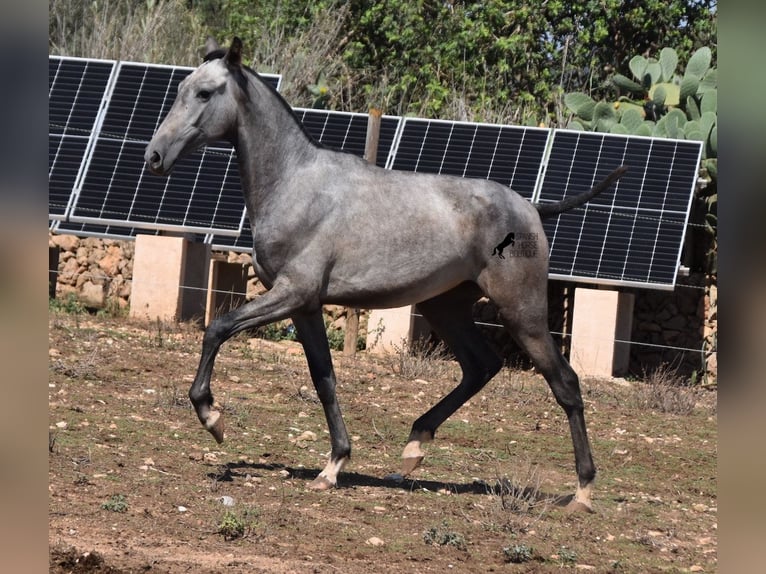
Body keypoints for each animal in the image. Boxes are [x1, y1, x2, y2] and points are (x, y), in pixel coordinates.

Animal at [147, 37, 628, 512]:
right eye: (179, 89)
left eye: (205, 93)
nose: (154, 156)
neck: (295, 186)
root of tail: (532, 208)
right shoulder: (305, 307)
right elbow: (324, 379)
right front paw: (333, 467)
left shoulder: (292, 293)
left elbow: (218, 328)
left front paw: (213, 418)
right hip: (445, 307)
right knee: (481, 366)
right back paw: (414, 447)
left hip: (521, 311)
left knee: (565, 383)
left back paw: (583, 493)